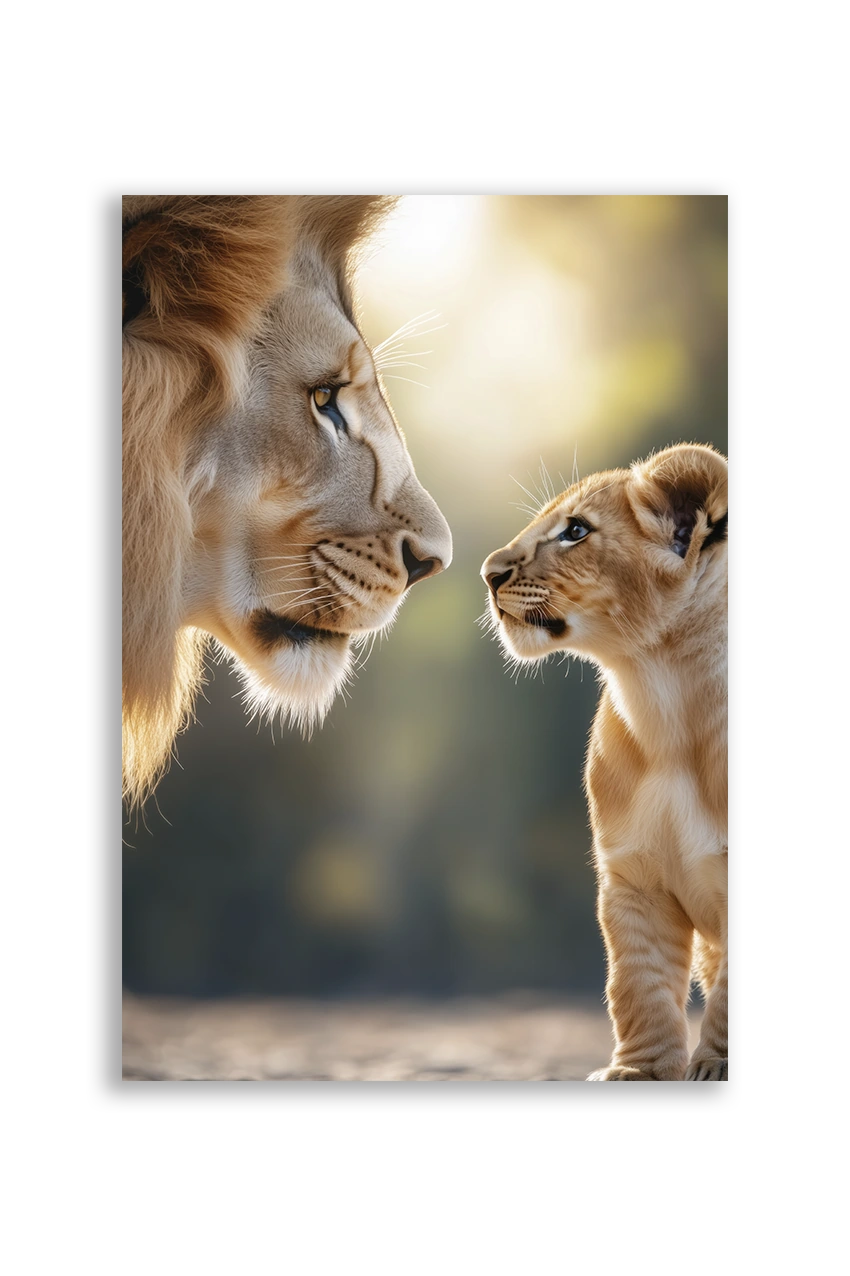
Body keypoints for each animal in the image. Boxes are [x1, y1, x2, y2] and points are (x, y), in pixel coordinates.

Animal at [481, 444, 728, 1080]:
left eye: (576, 531)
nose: (488, 573)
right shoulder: (633, 875)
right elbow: (637, 984)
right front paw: (638, 1072)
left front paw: (718, 1066)